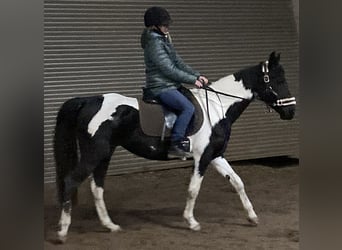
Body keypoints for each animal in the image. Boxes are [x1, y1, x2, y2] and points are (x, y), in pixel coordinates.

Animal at [54, 51, 296, 242]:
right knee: (71, 181)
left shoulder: (216, 156)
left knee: (97, 187)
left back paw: (110, 225)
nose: (290, 112)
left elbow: (237, 182)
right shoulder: (202, 157)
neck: (218, 107)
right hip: (95, 153)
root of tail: (89, 100)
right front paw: (191, 222)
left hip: (104, 154)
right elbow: (193, 189)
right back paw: (63, 232)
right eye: (278, 80)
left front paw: (252, 217)